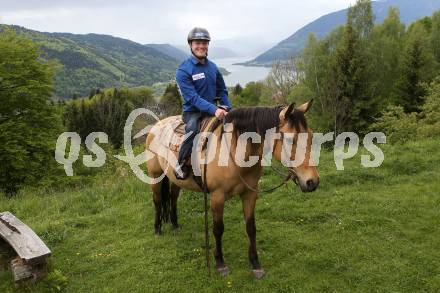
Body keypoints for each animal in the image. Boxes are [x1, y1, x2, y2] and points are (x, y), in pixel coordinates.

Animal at [145, 100, 320, 276]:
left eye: (311, 135)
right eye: (290, 140)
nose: (312, 182)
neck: (234, 152)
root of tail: (156, 126)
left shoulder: (249, 194)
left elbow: (250, 227)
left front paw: (255, 264)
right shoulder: (217, 197)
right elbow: (218, 229)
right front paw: (220, 263)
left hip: (176, 179)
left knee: (173, 197)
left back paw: (175, 225)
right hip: (155, 175)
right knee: (157, 201)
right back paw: (157, 230)